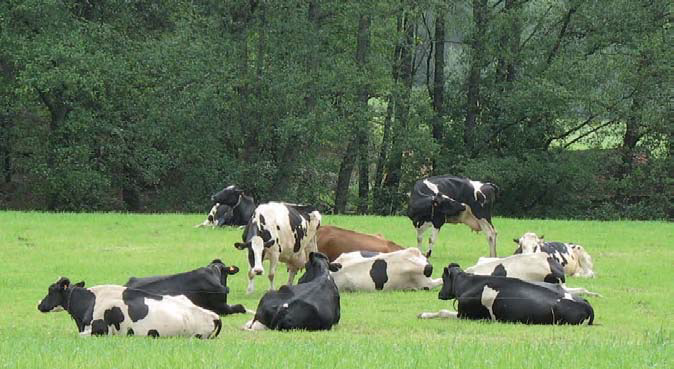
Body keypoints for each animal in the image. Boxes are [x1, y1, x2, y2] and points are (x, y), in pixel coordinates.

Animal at [414, 262, 592, 324]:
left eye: (444, 278)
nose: (440, 294)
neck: (469, 284)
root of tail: (586, 305)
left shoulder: (464, 315)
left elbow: (443, 311)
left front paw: (423, 314)